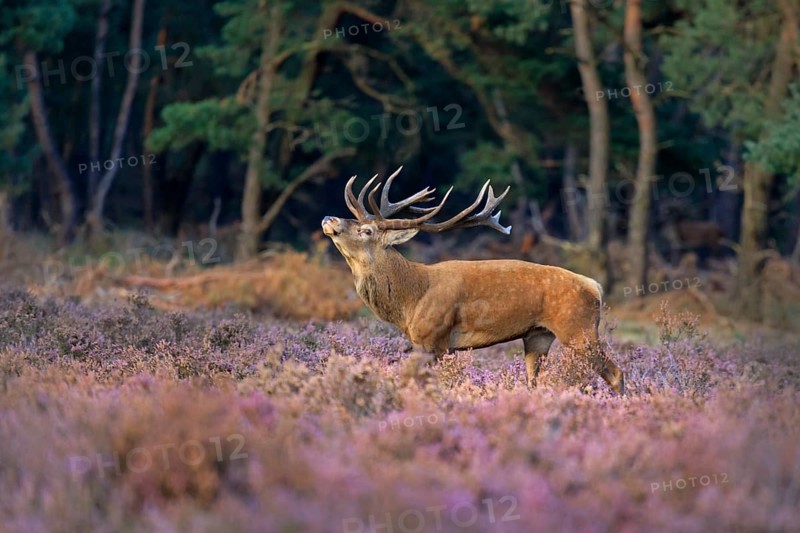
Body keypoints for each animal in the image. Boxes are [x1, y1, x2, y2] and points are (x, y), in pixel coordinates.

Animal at [321, 167, 625, 395]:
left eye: (367, 230)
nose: (328, 217)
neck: (411, 301)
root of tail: (595, 287)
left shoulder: (434, 338)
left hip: (578, 329)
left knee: (615, 373)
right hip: (538, 336)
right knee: (535, 380)